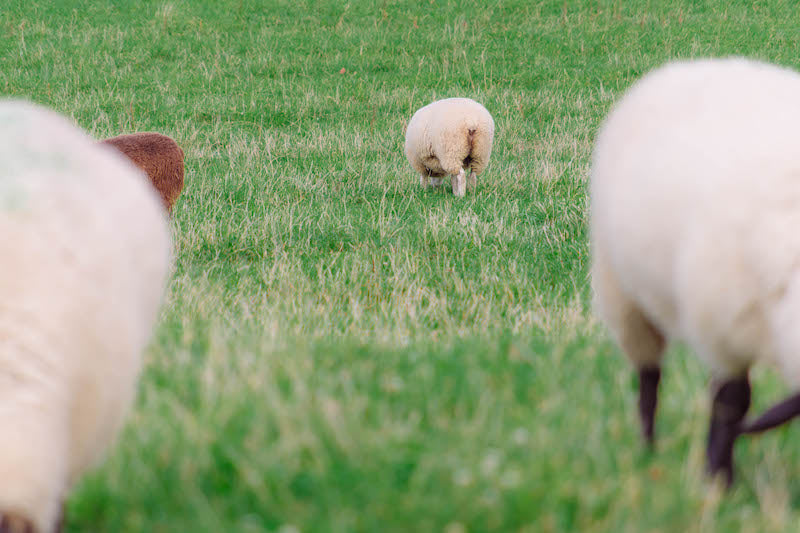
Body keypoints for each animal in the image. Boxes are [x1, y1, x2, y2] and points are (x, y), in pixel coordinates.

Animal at [590, 57, 800, 486]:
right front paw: (718, 479)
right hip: (622, 291)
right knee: (648, 377)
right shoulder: (722, 322)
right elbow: (731, 402)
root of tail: (685, 65)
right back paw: (647, 448)